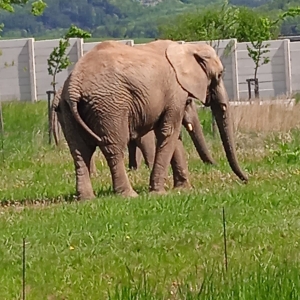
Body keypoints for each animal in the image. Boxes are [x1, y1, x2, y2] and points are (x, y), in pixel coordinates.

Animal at [57, 39, 247, 199]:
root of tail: (74, 85)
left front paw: (183, 189)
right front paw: (159, 193)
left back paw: (86, 199)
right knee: (114, 147)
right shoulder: (175, 92)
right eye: (220, 75)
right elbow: (169, 132)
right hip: (110, 107)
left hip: (67, 109)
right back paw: (129, 195)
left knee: (80, 151)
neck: (188, 47)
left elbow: (173, 136)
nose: (246, 180)